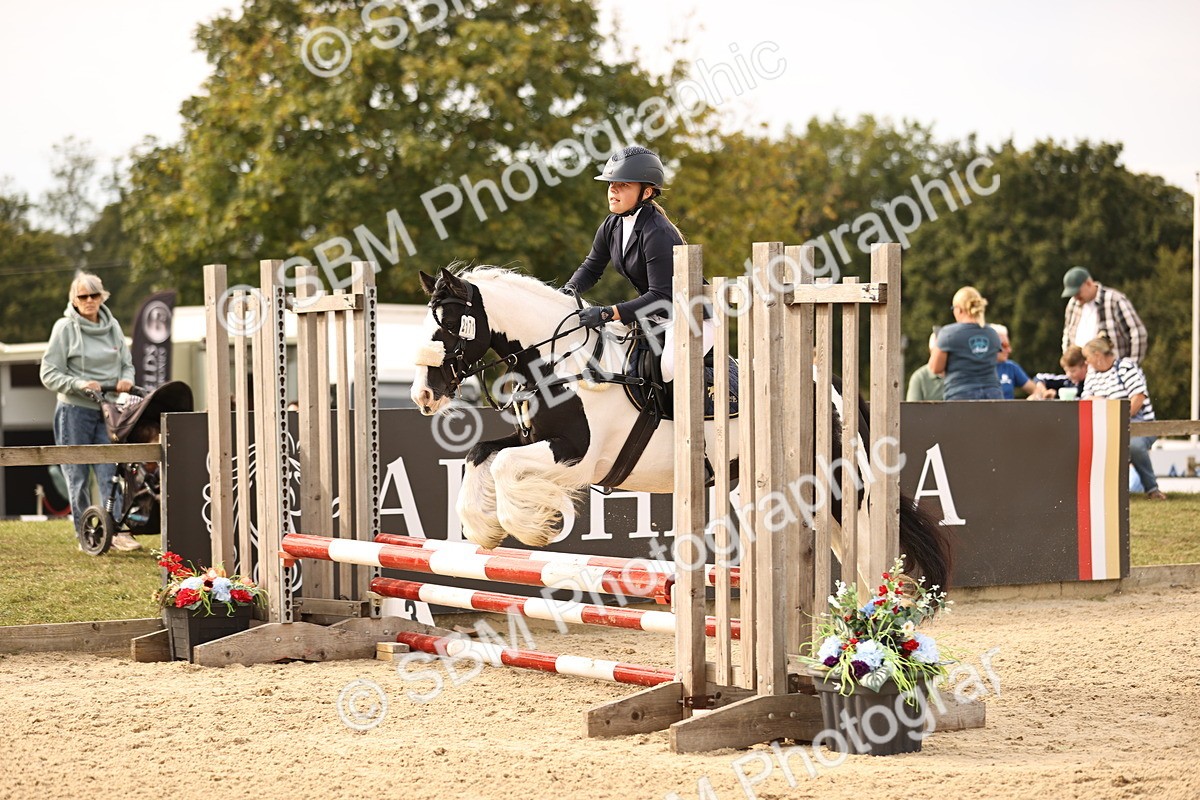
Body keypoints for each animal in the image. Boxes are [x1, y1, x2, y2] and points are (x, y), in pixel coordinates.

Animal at [411, 266, 949, 589]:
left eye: (449, 325)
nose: (423, 395)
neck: (561, 362)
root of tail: (833, 387)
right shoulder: (533, 439)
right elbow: (480, 456)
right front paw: (484, 531)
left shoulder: (576, 455)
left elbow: (505, 468)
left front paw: (533, 526)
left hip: (838, 488)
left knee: (867, 547)